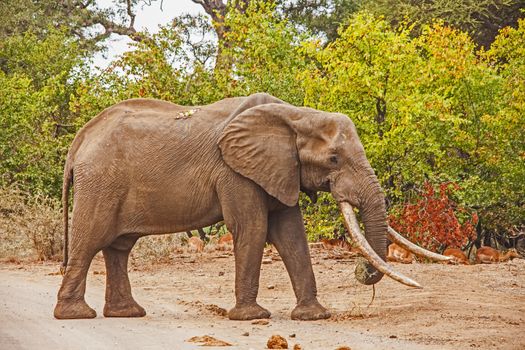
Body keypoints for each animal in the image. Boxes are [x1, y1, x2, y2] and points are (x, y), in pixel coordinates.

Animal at [53, 92, 448, 320]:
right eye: (334, 159)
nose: (360, 271)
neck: (295, 115)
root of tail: (81, 138)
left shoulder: (280, 169)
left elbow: (292, 236)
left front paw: (314, 316)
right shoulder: (235, 171)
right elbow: (253, 229)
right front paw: (252, 317)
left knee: (118, 247)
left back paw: (127, 313)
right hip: (101, 182)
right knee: (90, 239)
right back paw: (75, 315)